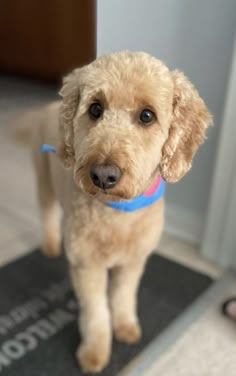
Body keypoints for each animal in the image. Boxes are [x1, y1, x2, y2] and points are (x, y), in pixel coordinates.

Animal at [16, 50, 212, 374]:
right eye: (95, 109)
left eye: (147, 115)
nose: (102, 175)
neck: (118, 213)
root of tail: (50, 105)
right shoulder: (87, 266)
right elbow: (96, 313)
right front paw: (94, 352)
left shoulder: (133, 262)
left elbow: (122, 297)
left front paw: (125, 327)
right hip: (43, 179)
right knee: (48, 214)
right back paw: (51, 245)